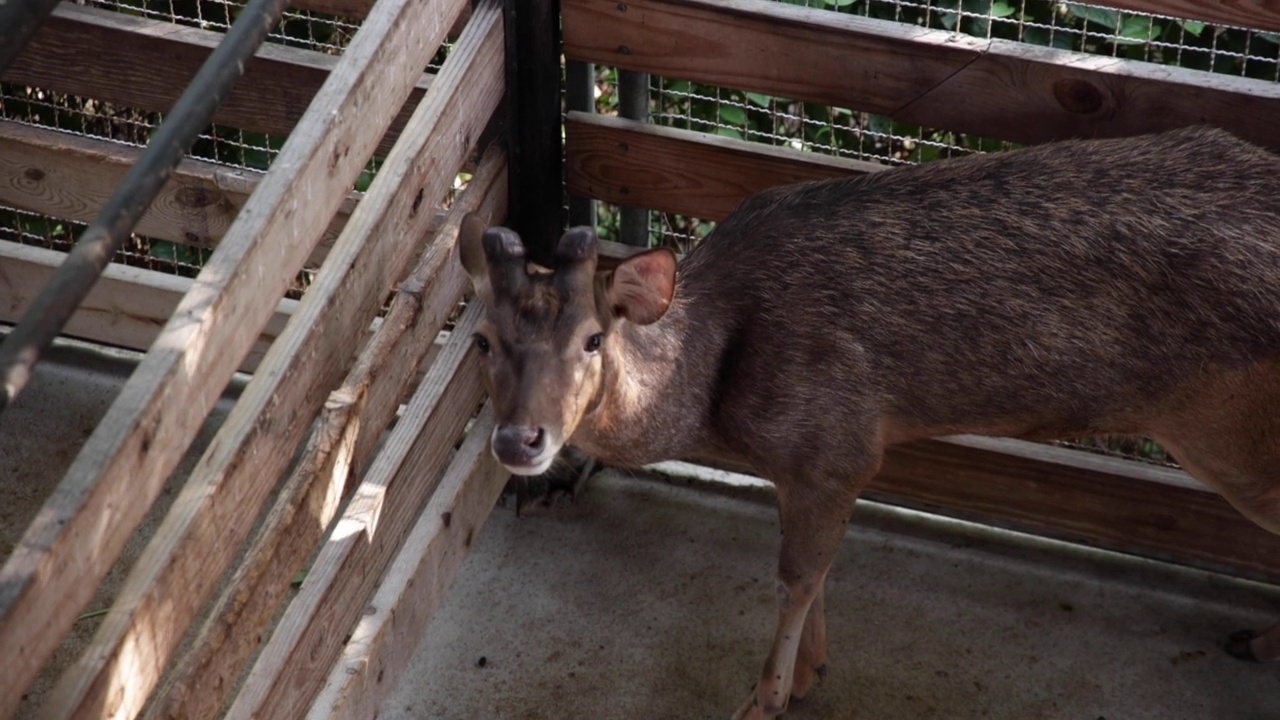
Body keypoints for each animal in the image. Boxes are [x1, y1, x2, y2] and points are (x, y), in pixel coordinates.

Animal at [455, 126, 1274, 712]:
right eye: (482, 339)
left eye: (594, 338)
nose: (520, 440)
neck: (723, 405)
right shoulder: (808, 464)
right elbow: (816, 569)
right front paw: (809, 672)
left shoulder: (835, 441)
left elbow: (796, 574)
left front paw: (765, 699)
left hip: (1231, 435)